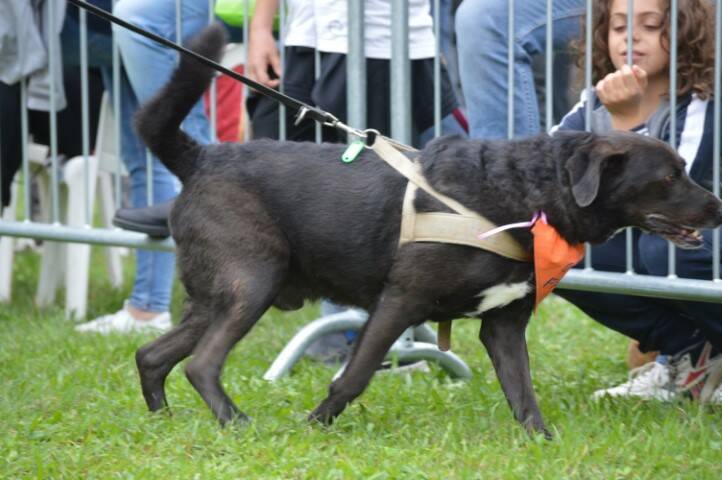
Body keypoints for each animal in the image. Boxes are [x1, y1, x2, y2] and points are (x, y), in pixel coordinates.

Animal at [132, 25, 716, 438]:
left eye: (683, 168)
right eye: (670, 176)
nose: (718, 206)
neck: (521, 194)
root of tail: (202, 158)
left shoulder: (503, 326)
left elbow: (523, 392)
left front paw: (541, 442)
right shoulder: (398, 301)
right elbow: (355, 375)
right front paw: (315, 425)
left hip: (217, 296)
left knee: (153, 356)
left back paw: (164, 422)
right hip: (250, 284)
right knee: (201, 363)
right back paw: (235, 423)